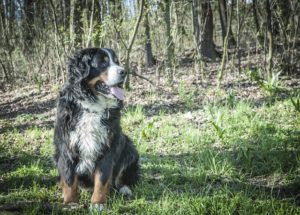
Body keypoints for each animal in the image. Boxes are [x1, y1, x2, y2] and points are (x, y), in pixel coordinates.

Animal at [52, 47, 139, 211]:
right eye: (103, 63)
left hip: (128, 147)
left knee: (120, 177)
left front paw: (98, 203)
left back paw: (125, 189)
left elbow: (102, 178)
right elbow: (69, 178)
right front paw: (71, 203)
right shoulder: (66, 145)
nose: (124, 72)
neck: (92, 107)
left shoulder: (107, 146)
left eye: (116, 61)